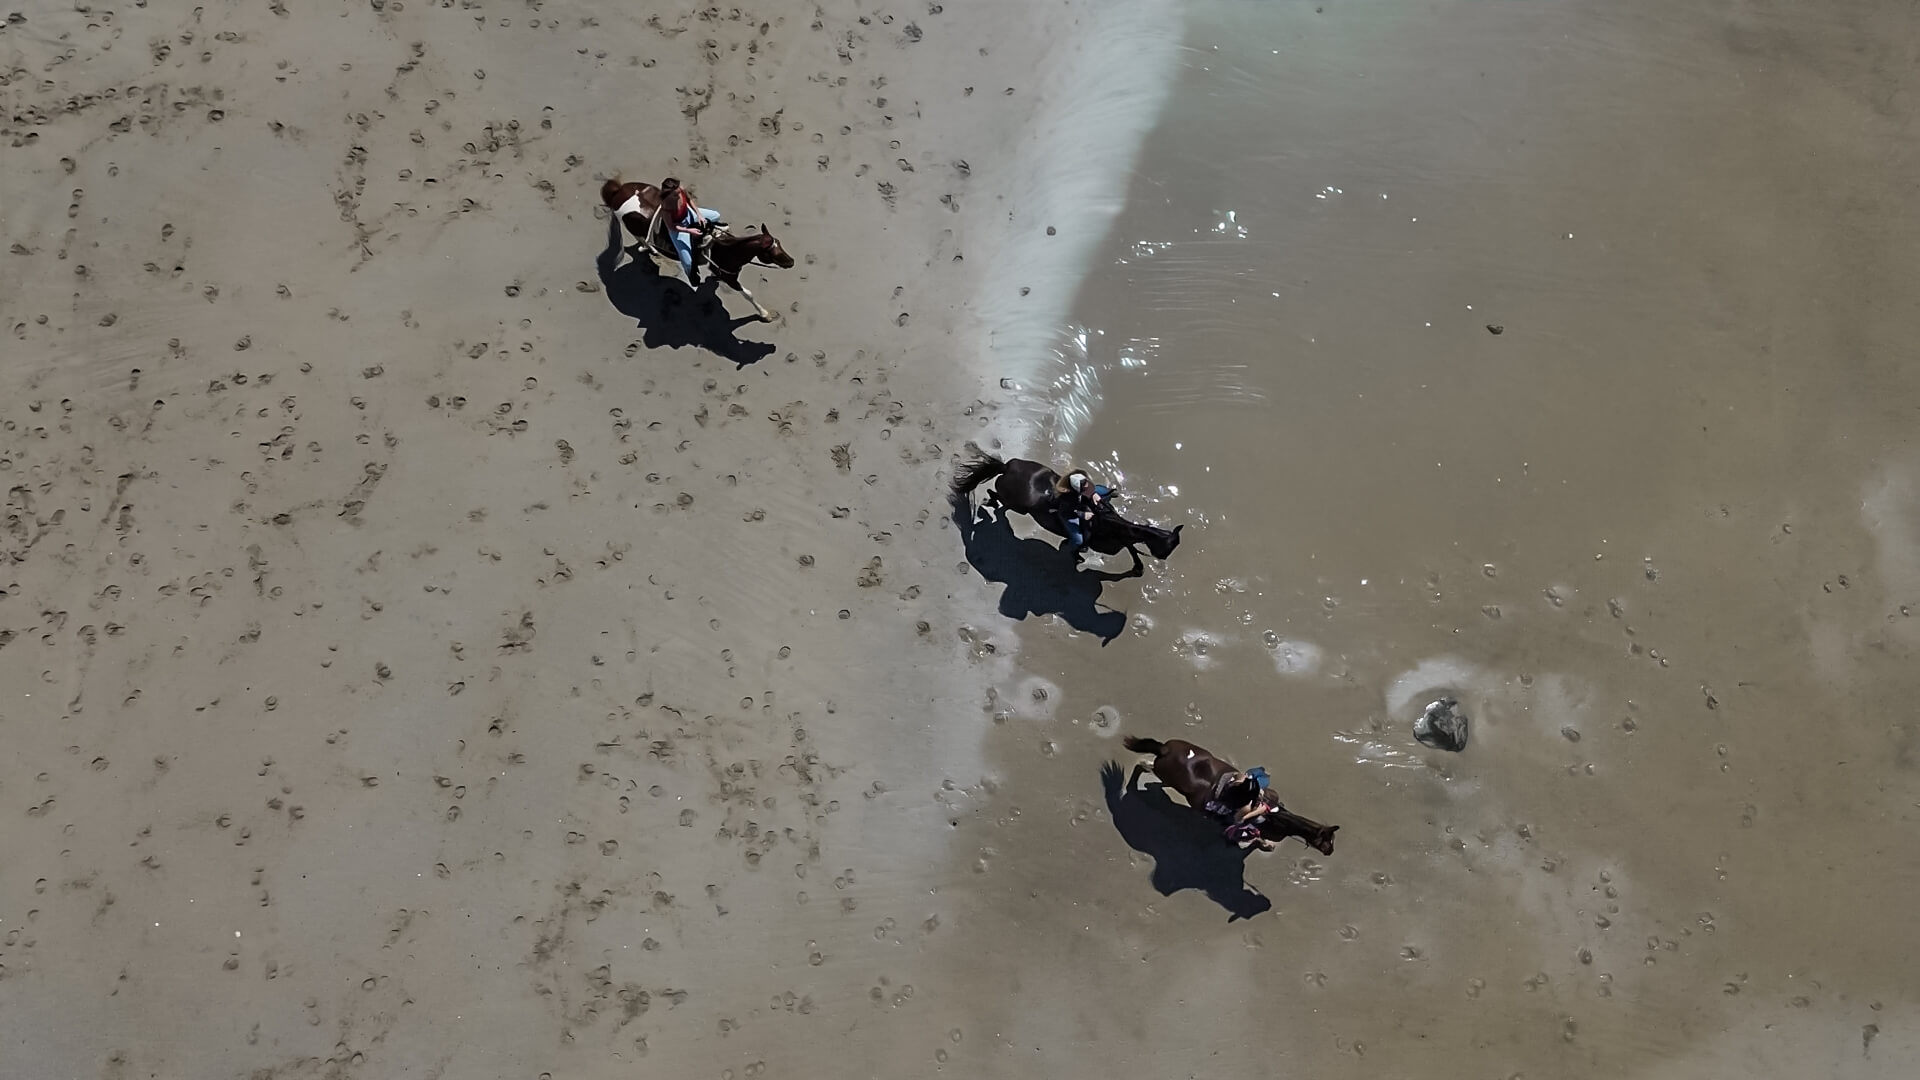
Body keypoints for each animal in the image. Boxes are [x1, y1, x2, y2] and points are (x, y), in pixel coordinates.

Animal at [599, 177, 795, 321]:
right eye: (771, 252)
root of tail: (618, 191)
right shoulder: (730, 279)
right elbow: (748, 293)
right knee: (640, 238)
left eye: (780, 244)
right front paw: (765, 314)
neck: (726, 250)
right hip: (630, 227)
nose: (791, 261)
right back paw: (650, 249)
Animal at [950, 452, 1183, 562]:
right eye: (1170, 546)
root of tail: (1007, 466)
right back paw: (988, 504)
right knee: (998, 501)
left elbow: (1132, 548)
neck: (1108, 524)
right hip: (1018, 505)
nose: (1163, 558)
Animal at [1121, 735, 1338, 856]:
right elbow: (1254, 838)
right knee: (1143, 767)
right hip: (1166, 774)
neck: (1275, 816)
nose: (1331, 852)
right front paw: (1265, 845)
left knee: (1147, 769)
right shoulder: (1245, 826)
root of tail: (1165, 748)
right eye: (1329, 841)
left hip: (1168, 777)